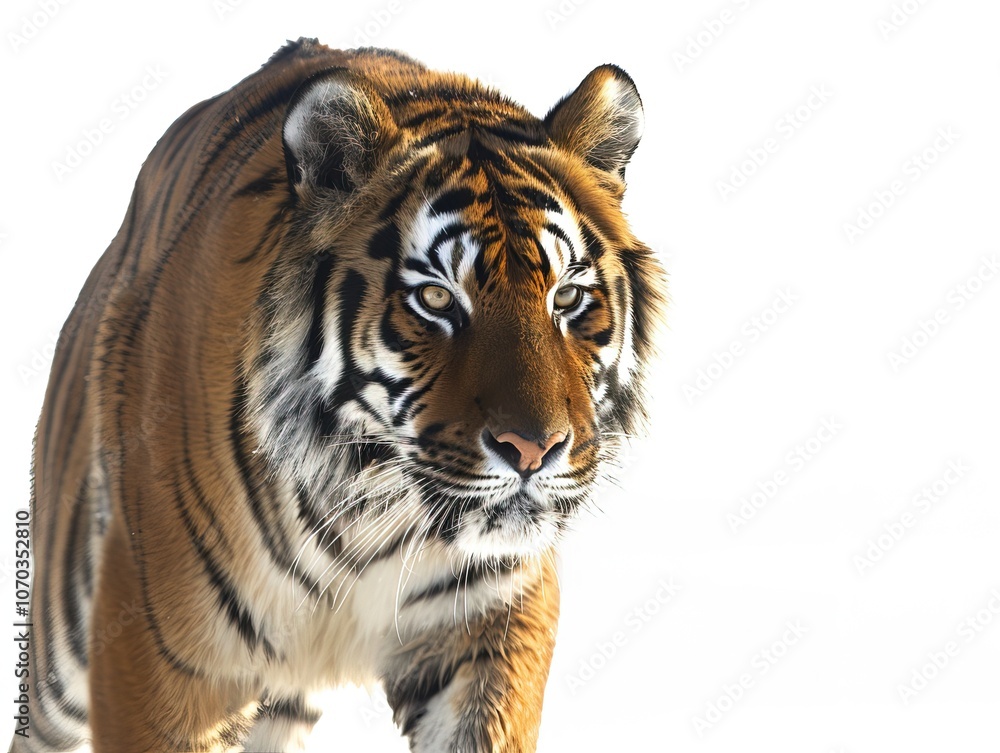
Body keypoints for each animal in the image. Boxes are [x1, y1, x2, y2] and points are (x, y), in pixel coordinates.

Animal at [12, 37, 665, 753]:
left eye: (567, 298)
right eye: (436, 298)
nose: (534, 450)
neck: (371, 510)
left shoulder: (492, 626)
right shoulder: (166, 662)